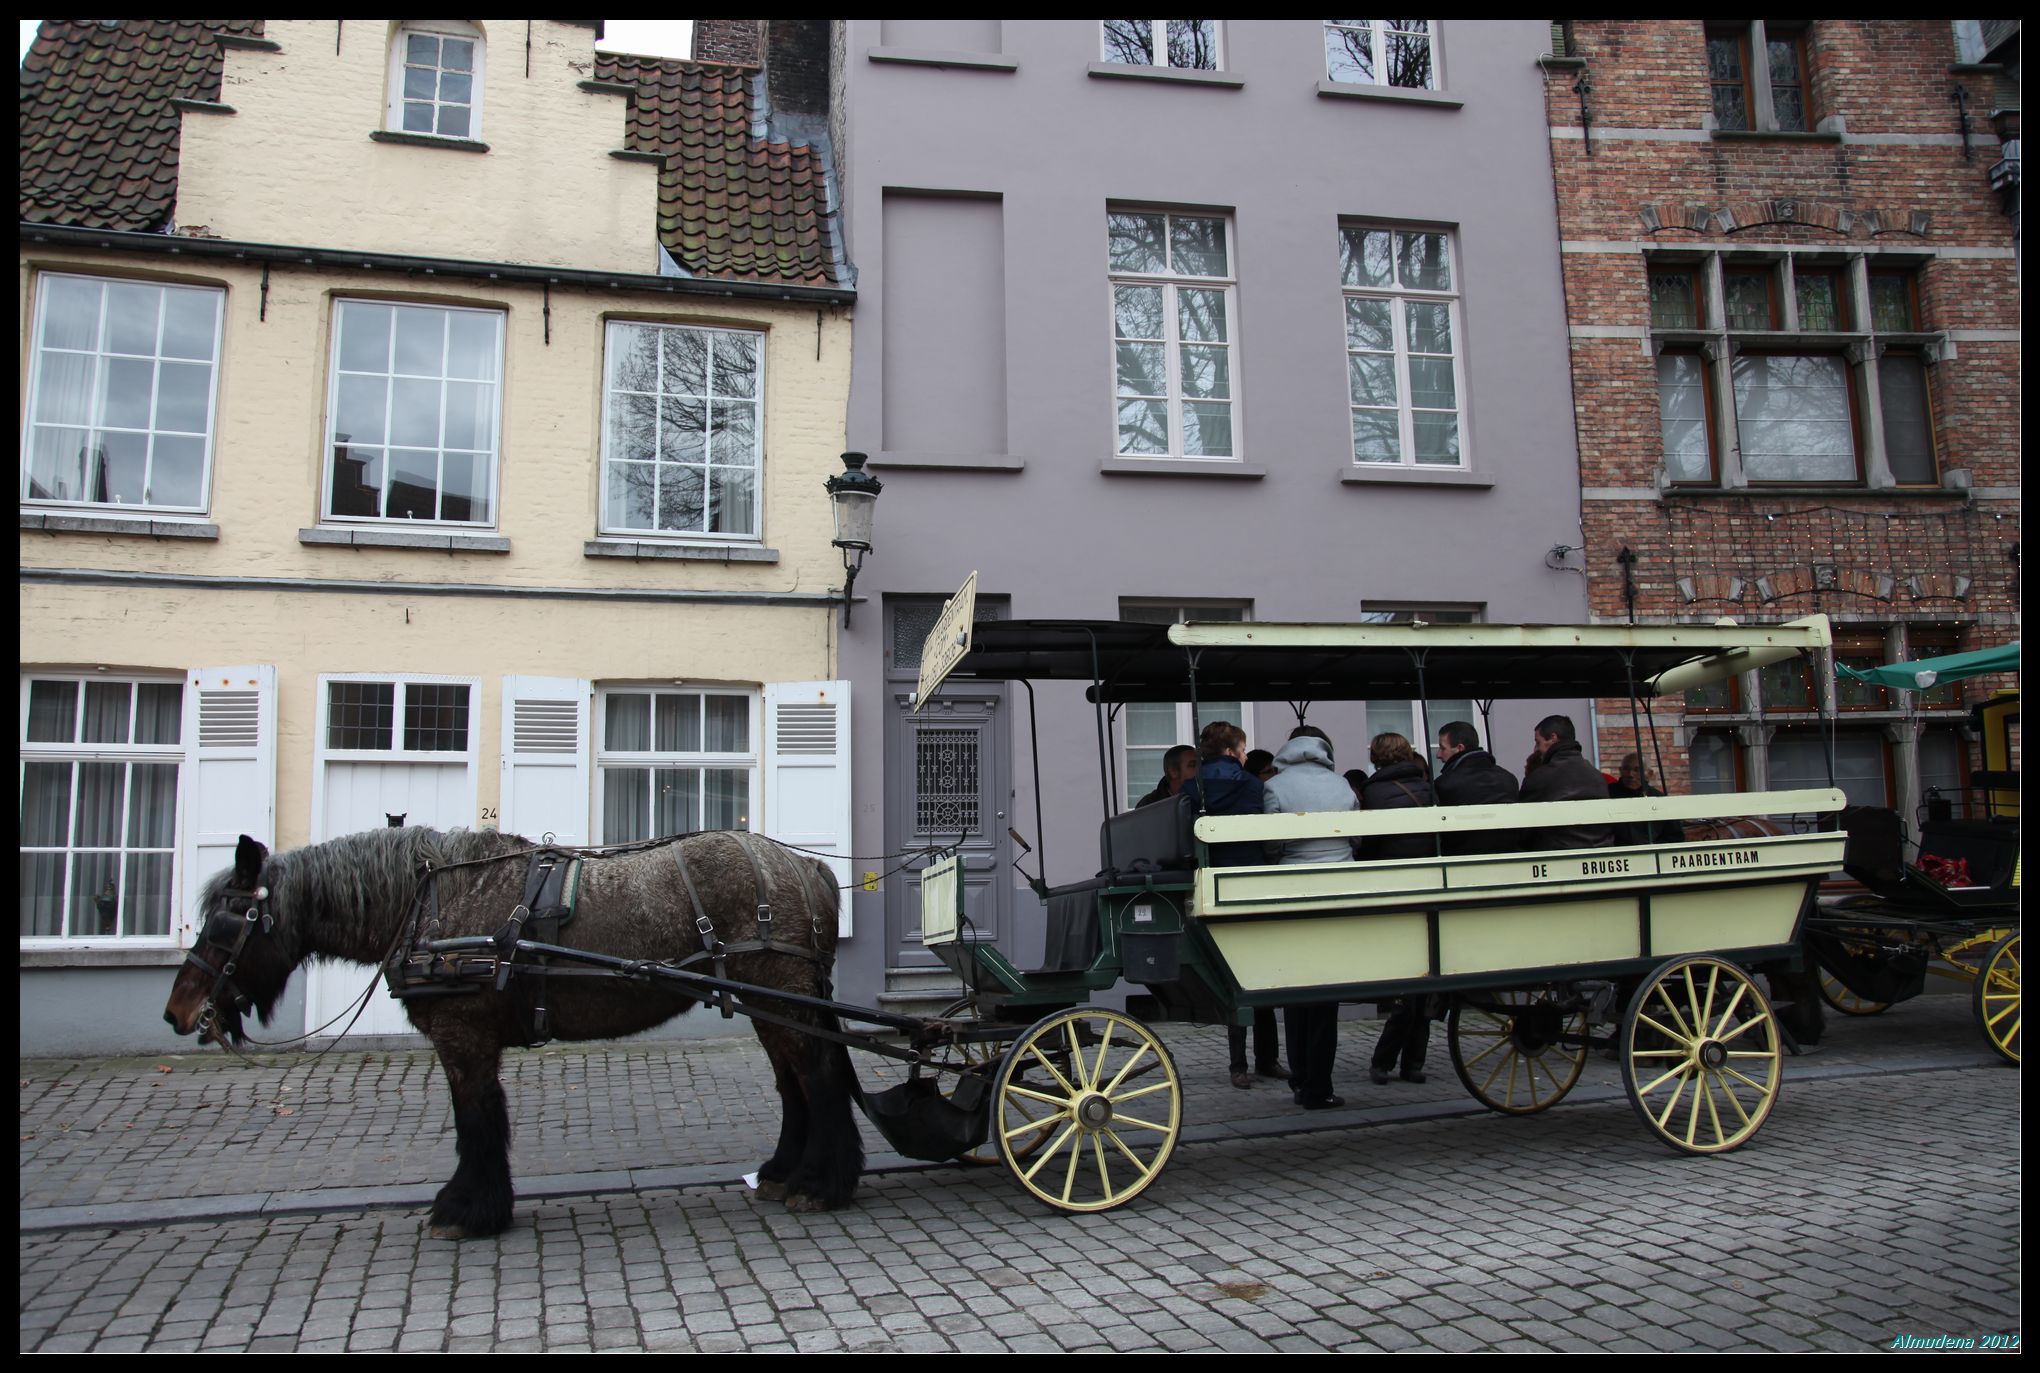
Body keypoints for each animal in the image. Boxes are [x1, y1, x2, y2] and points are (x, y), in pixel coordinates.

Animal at [163, 828, 856, 1240]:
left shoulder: (463, 1036)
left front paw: (468, 1208)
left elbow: (476, 1120)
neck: (435, 904)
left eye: (228, 919)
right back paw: (785, 1172)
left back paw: (821, 1184)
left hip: (779, 993)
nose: (178, 1011)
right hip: (770, 1002)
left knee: (819, 1078)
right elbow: (479, 1120)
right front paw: (478, 1203)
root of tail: (806, 867)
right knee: (794, 1083)